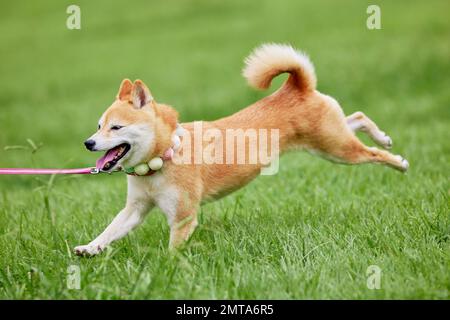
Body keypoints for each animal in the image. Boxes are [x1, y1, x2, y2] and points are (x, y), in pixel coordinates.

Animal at [74, 43, 408, 256]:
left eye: (116, 128)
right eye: (98, 125)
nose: (88, 142)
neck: (162, 158)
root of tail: (294, 86)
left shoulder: (182, 217)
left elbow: (172, 249)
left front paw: (166, 267)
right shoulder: (135, 209)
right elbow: (110, 230)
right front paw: (90, 248)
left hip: (338, 150)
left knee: (372, 154)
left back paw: (397, 160)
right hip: (329, 143)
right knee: (357, 118)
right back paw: (383, 137)